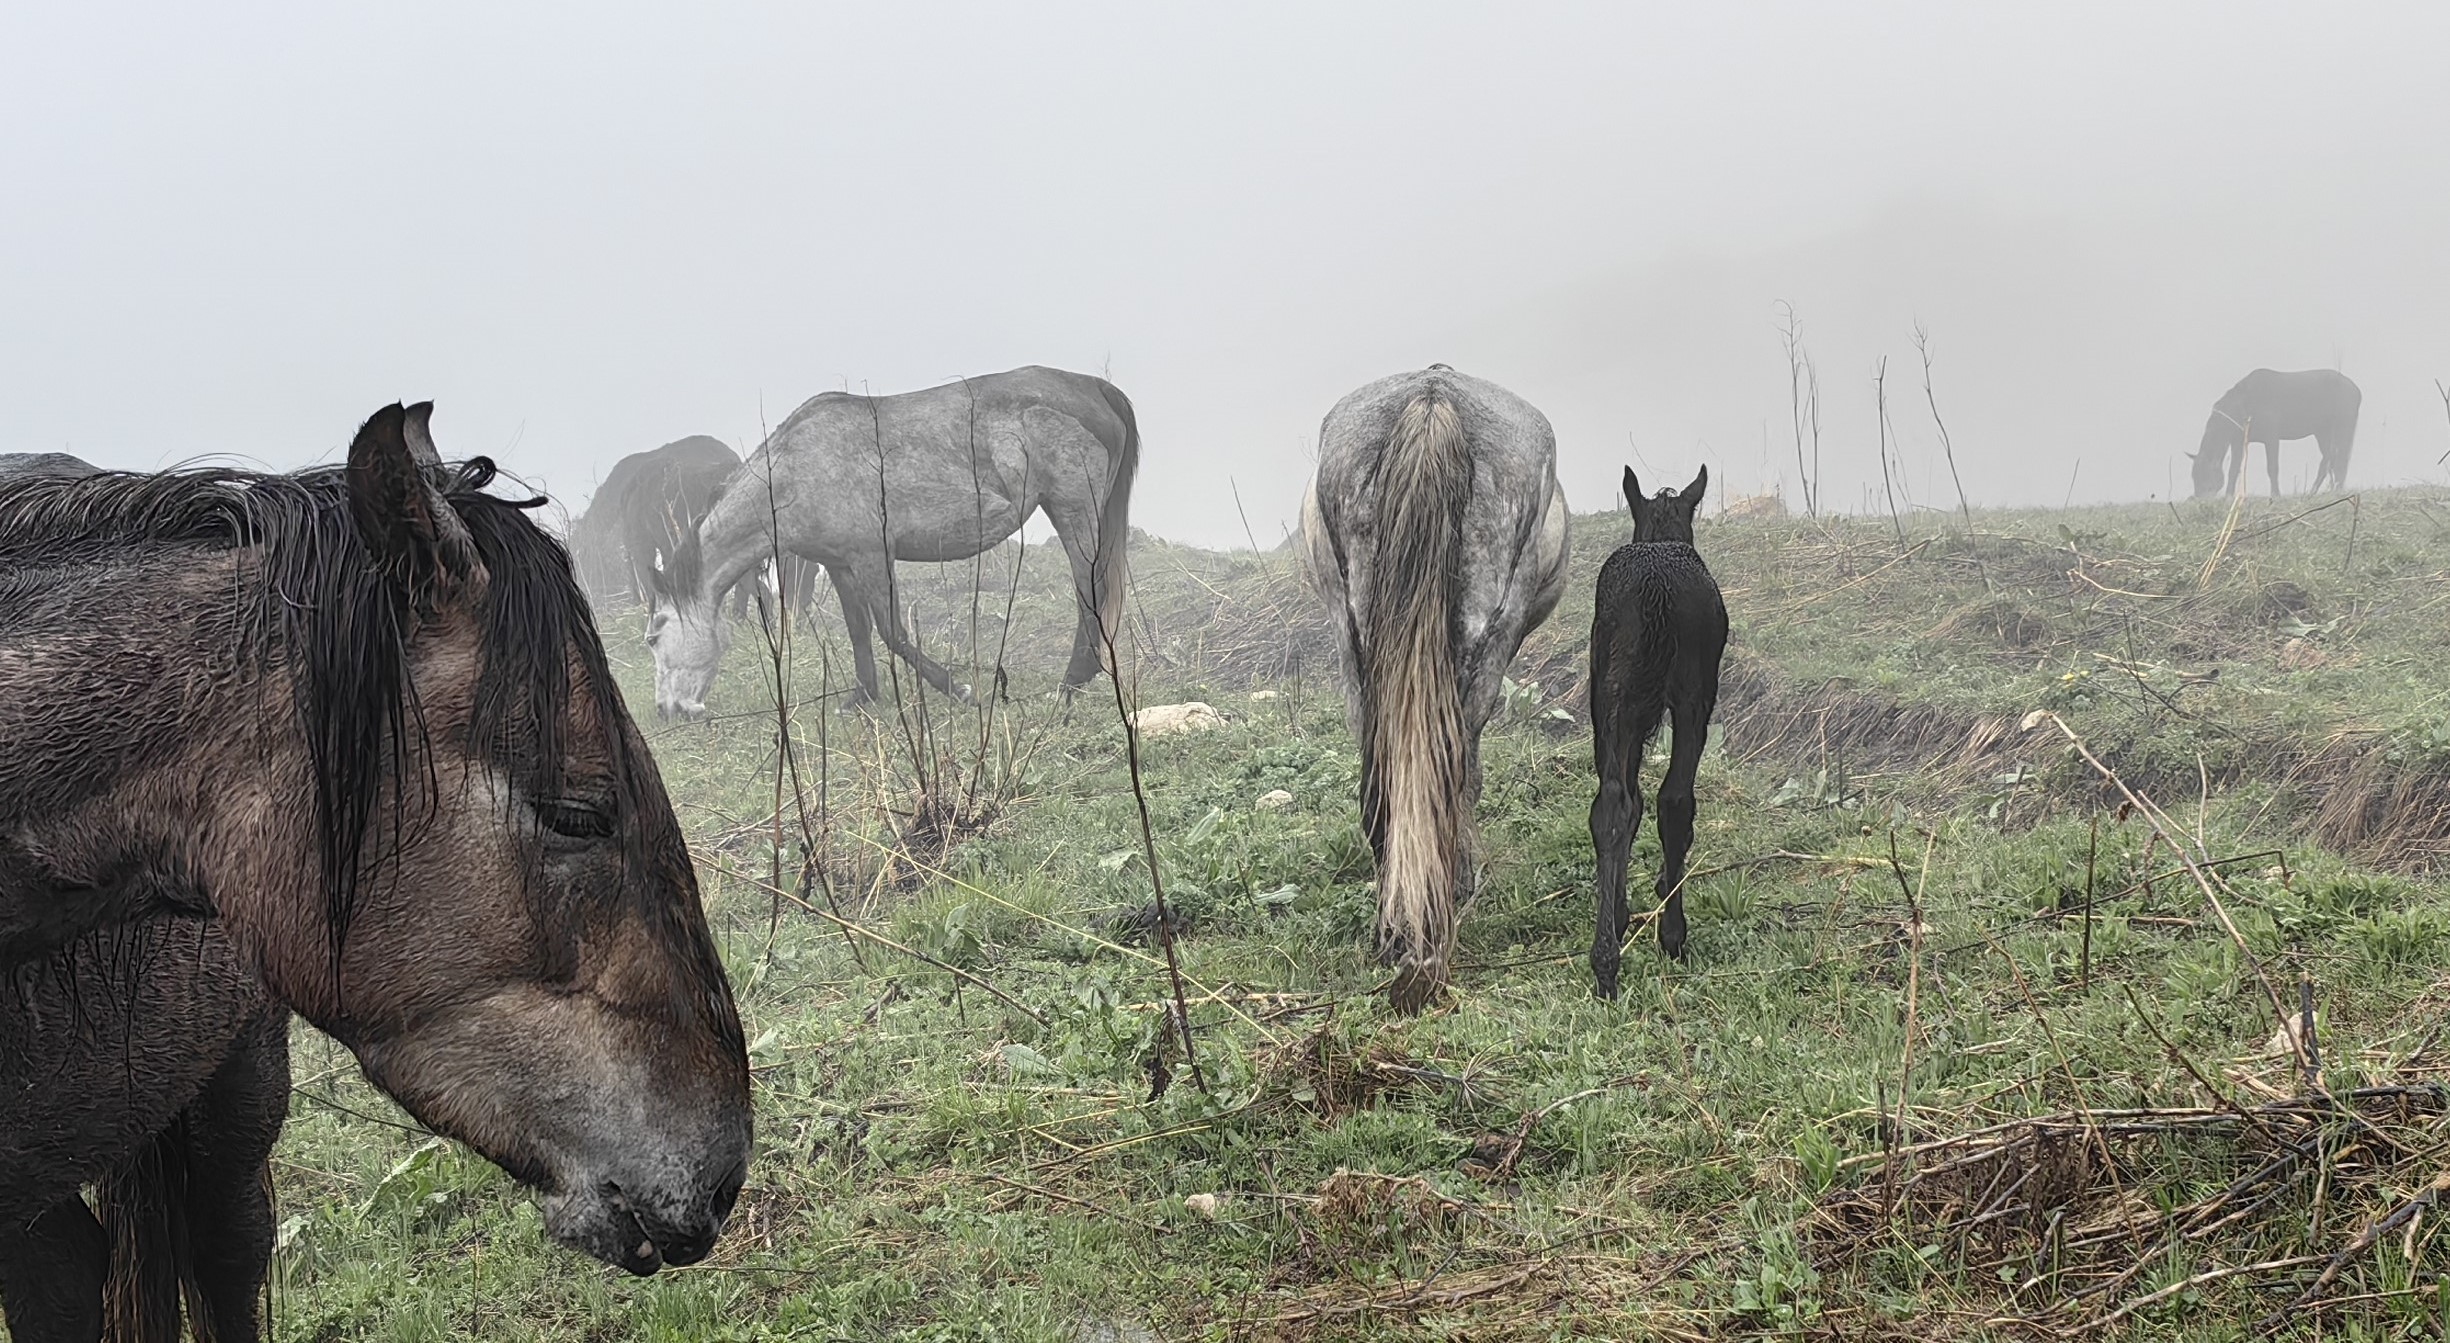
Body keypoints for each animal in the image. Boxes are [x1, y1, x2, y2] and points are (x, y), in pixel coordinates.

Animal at [651, 362, 1146, 720]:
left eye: (654, 637)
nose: (665, 710)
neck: (796, 470)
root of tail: (1090, 387)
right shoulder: (841, 563)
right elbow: (858, 629)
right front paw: (862, 696)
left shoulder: (873, 556)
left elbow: (892, 632)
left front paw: (960, 690)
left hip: (1073, 509)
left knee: (1090, 591)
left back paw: (1071, 682)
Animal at [1303, 362, 1568, 1014]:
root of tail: (1432, 394)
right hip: (1488, 630)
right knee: (1455, 763)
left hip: (1353, 634)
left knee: (1381, 774)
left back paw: (1395, 927)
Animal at [1577, 468, 1734, 999]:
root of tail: (1655, 586)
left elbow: (1629, 800)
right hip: (1688, 695)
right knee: (1670, 800)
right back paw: (1669, 932)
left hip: (1614, 691)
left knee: (1616, 801)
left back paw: (1607, 958)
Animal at [2195, 367, 2361, 497]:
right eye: (2194, 475)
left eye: (2205, 474)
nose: (2197, 497)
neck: (2246, 401)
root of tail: (2355, 389)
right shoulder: (2238, 442)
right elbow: (2233, 469)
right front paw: (2229, 496)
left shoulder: (2271, 439)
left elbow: (2272, 468)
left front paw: (2275, 494)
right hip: (2323, 433)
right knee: (2331, 459)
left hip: (2342, 429)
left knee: (2338, 459)